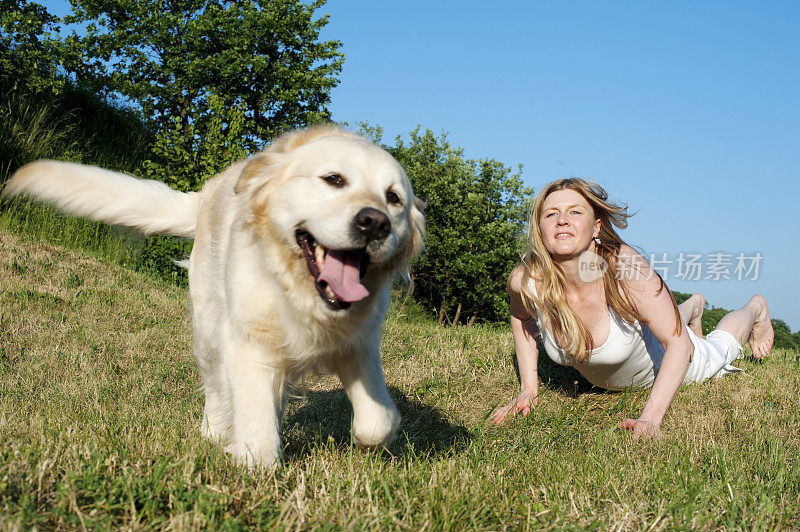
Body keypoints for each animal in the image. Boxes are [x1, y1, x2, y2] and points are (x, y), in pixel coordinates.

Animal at [4, 124, 424, 466]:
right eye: (333, 179)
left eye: (393, 198)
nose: (375, 223)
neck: (298, 292)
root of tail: (204, 193)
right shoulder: (249, 342)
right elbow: (258, 438)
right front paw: (252, 463)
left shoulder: (360, 344)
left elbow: (378, 421)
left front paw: (367, 441)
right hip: (209, 327)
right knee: (218, 388)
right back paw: (215, 431)